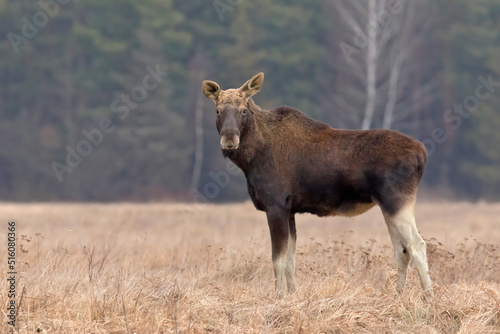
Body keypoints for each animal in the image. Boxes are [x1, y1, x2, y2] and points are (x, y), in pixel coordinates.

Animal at [201, 73, 432, 298]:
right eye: (217, 110)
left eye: (243, 110)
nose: (229, 140)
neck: (250, 160)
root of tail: (422, 154)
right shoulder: (290, 209)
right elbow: (290, 261)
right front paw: (293, 295)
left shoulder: (275, 205)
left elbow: (277, 260)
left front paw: (278, 298)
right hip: (388, 207)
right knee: (402, 251)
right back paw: (398, 296)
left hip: (396, 201)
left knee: (417, 245)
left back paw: (428, 297)